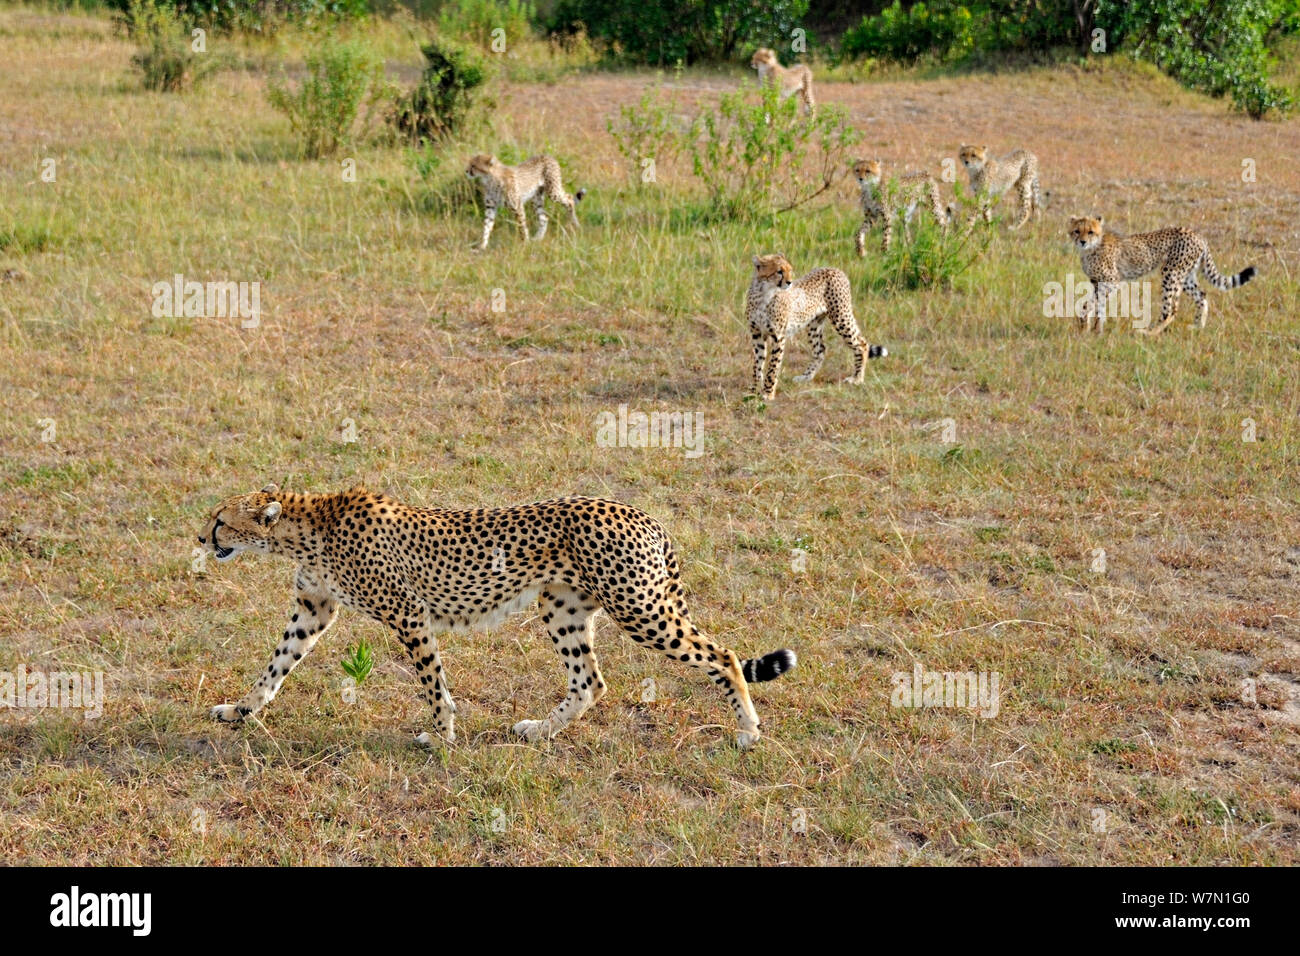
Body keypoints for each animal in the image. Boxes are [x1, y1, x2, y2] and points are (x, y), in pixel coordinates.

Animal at [197, 486, 795, 749]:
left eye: (220, 520)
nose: (201, 538)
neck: (305, 528)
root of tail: (640, 513)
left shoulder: (409, 614)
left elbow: (433, 683)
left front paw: (441, 736)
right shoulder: (313, 609)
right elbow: (274, 668)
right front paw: (240, 711)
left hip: (640, 609)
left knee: (722, 655)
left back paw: (748, 730)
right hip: (563, 607)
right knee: (590, 681)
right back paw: (539, 730)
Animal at [748, 254, 889, 400]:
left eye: (790, 270)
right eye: (779, 271)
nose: (789, 282)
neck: (764, 294)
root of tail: (834, 269)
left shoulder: (778, 336)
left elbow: (773, 367)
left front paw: (768, 393)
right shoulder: (757, 334)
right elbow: (757, 365)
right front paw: (754, 390)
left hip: (840, 317)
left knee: (862, 343)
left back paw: (857, 378)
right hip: (814, 325)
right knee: (820, 349)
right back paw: (806, 377)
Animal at [1066, 214, 1258, 335]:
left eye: (1090, 232)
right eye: (1077, 231)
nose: (1082, 241)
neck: (1092, 248)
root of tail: (1197, 234)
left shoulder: (1112, 280)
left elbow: (1088, 305)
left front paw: (1085, 327)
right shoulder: (1097, 282)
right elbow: (1098, 306)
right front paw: (1095, 331)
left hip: (1170, 273)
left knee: (1171, 309)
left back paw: (1149, 333)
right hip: (1185, 276)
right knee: (1202, 295)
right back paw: (1197, 327)